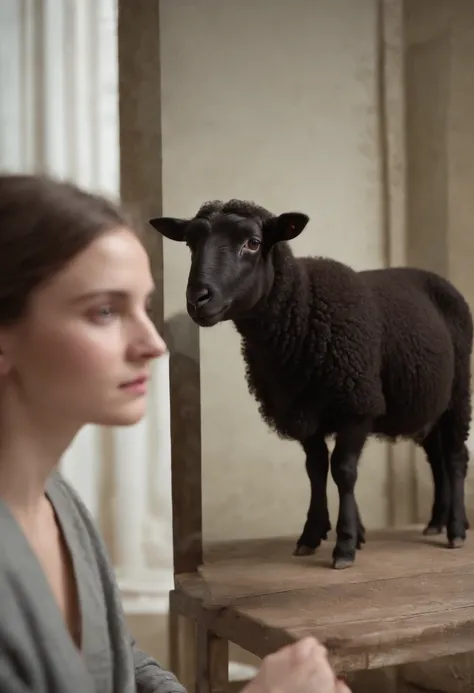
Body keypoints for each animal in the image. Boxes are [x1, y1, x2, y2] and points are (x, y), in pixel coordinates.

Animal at [151, 199, 470, 568]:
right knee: (436, 456)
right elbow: (315, 469)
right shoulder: (300, 411)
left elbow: (343, 472)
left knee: (455, 457)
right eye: (190, 243)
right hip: (429, 403)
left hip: (459, 391)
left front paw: (345, 545)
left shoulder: (357, 405)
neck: (303, 310)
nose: (197, 298)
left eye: (253, 243)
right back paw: (437, 521)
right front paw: (312, 535)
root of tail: (437, 278)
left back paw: (456, 529)